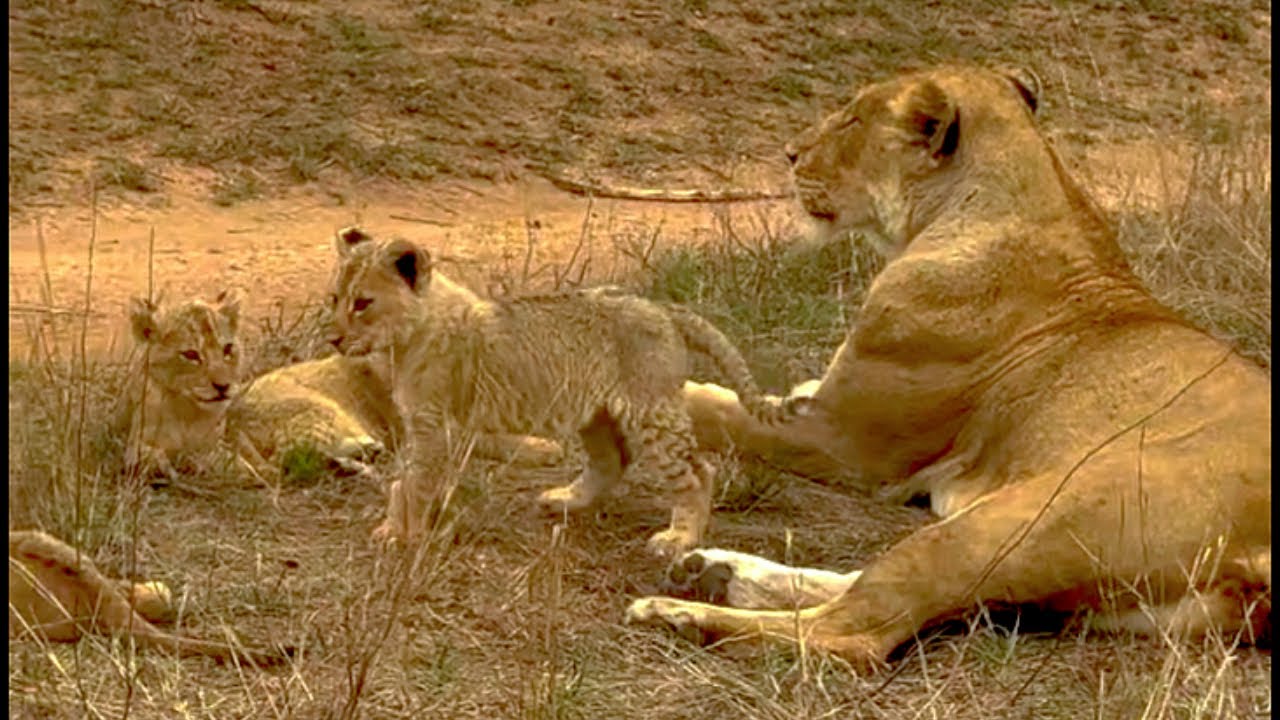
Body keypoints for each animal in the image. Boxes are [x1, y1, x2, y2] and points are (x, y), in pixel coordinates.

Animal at [326, 227, 782, 556]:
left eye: (363, 303)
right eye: (334, 298)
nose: (332, 339)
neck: (405, 339)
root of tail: (663, 308)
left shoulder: (435, 426)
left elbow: (415, 483)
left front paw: (407, 538)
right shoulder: (419, 424)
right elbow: (402, 480)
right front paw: (393, 528)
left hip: (651, 410)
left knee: (697, 471)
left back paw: (679, 539)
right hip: (596, 412)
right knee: (611, 461)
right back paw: (566, 500)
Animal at [626, 63, 1271, 670]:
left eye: (853, 119)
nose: (790, 154)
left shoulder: (843, 443)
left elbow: (708, 407)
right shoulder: (822, 404)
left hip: (1040, 513)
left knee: (854, 633)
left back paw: (681, 613)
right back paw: (716, 571)